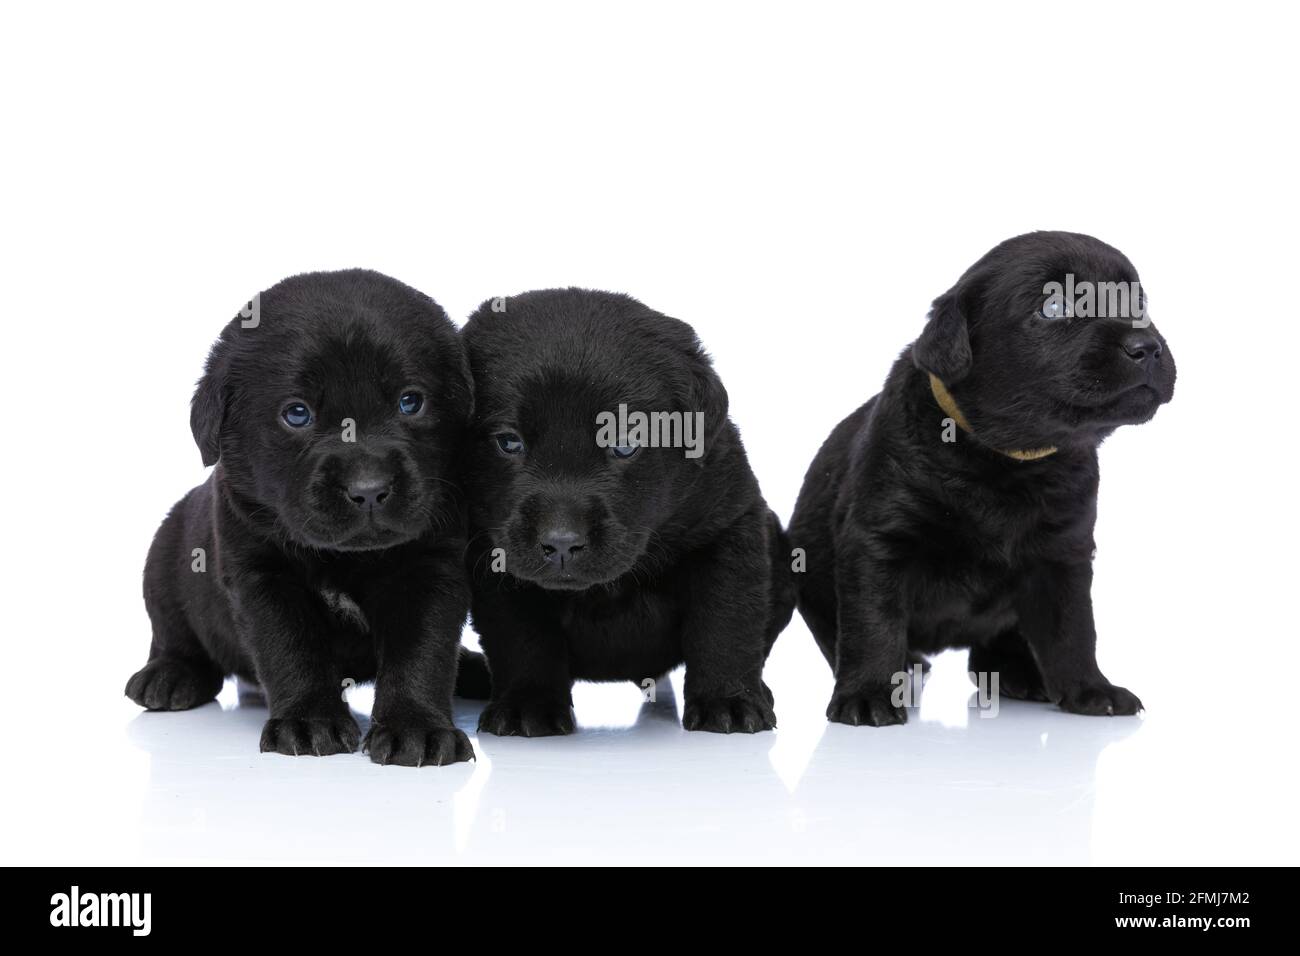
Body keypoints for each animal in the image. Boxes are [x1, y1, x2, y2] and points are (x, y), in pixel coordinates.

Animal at [122, 269, 475, 770]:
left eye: (411, 402)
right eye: (297, 413)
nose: (368, 488)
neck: (346, 558)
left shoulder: (433, 567)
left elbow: (423, 651)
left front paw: (417, 728)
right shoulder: (262, 575)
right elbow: (292, 649)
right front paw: (311, 723)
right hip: (165, 559)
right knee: (174, 634)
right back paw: (169, 676)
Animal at [462, 287, 795, 738]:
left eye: (624, 444)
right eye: (509, 442)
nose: (562, 543)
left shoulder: (727, 525)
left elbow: (726, 622)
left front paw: (729, 701)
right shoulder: (492, 553)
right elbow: (521, 637)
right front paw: (526, 706)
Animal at [790, 231, 1180, 723]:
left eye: (1137, 303)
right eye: (1053, 306)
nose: (1146, 347)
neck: (1006, 460)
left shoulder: (1064, 553)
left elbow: (1073, 629)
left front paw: (1091, 690)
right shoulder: (878, 540)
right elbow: (873, 625)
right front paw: (868, 696)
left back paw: (1020, 675)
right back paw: (910, 670)